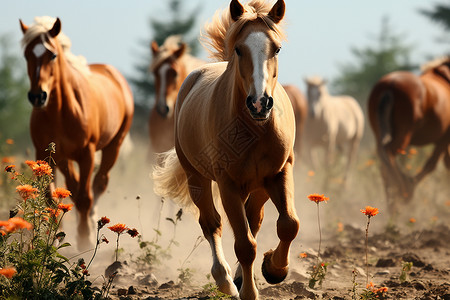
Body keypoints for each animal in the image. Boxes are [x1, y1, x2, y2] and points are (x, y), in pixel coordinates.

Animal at [19, 16, 134, 247]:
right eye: (26, 55)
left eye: (52, 55)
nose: (38, 96)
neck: (61, 111)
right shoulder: (46, 155)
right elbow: (52, 198)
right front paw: (52, 240)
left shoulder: (86, 154)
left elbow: (84, 197)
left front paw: (85, 239)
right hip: (64, 158)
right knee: (75, 186)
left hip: (113, 146)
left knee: (98, 184)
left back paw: (92, 221)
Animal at [152, 1, 298, 298]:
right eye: (239, 49)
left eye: (277, 48)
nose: (259, 103)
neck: (254, 129)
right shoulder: (227, 183)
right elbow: (244, 244)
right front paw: (249, 292)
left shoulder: (280, 173)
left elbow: (288, 225)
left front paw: (274, 269)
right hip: (197, 179)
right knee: (212, 224)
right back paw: (226, 281)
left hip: (259, 187)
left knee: (254, 220)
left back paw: (241, 276)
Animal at [368, 56, 450, 211]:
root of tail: (390, 85)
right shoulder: (444, 138)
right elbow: (431, 164)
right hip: (403, 135)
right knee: (388, 154)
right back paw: (404, 189)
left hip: (381, 133)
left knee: (384, 163)